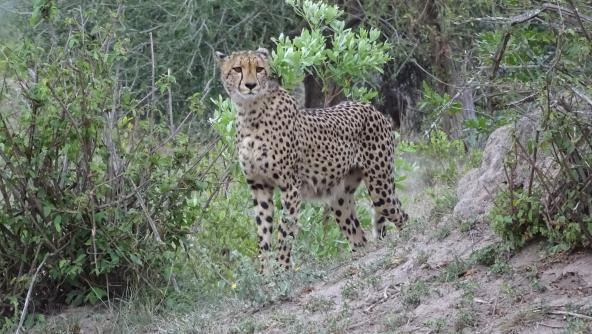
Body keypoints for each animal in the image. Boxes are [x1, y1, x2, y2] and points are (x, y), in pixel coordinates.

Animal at [215, 48, 410, 270]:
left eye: (259, 69)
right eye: (237, 69)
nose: (250, 85)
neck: (249, 112)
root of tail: (372, 108)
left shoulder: (291, 187)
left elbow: (285, 232)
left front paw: (283, 269)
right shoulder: (259, 187)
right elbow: (263, 235)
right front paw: (265, 273)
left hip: (380, 189)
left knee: (402, 216)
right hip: (339, 198)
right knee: (358, 237)